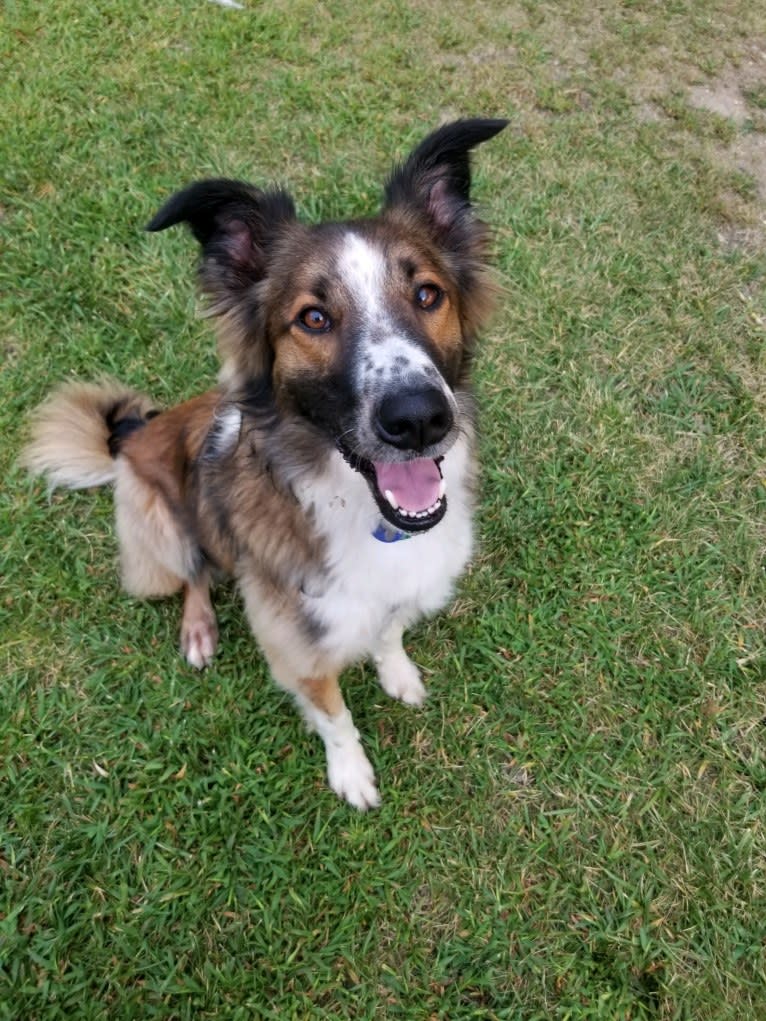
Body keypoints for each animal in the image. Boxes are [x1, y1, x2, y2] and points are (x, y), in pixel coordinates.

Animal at [22, 117, 510, 804]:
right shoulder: (294, 648)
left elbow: (388, 633)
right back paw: (199, 630)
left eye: (427, 294)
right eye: (314, 317)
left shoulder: (395, 594)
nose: (419, 419)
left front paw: (398, 674)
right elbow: (334, 716)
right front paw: (351, 775)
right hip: (160, 532)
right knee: (194, 573)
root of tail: (129, 437)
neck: (359, 512)